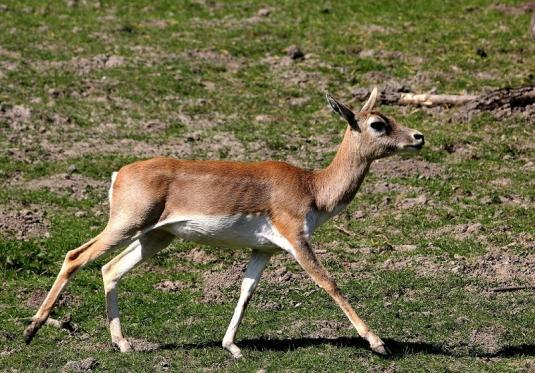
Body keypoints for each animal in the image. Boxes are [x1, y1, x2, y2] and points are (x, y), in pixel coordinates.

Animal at [24, 87, 428, 354]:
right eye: (378, 123)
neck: (313, 186)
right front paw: (378, 342)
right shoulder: (297, 239)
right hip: (125, 225)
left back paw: (123, 344)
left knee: (110, 269)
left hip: (155, 237)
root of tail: (119, 173)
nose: (419, 137)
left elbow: (246, 292)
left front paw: (231, 346)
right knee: (76, 257)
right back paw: (31, 331)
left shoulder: (263, 250)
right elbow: (329, 283)